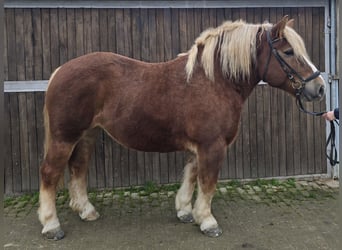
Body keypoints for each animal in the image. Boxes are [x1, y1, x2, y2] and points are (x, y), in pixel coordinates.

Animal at [37, 16, 326, 240]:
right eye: (288, 52)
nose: (320, 87)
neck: (214, 81)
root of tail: (60, 71)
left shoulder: (200, 147)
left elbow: (190, 175)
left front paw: (186, 211)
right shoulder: (213, 146)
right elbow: (207, 183)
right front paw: (207, 221)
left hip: (86, 135)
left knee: (78, 169)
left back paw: (86, 211)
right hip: (64, 138)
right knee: (50, 173)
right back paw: (51, 225)